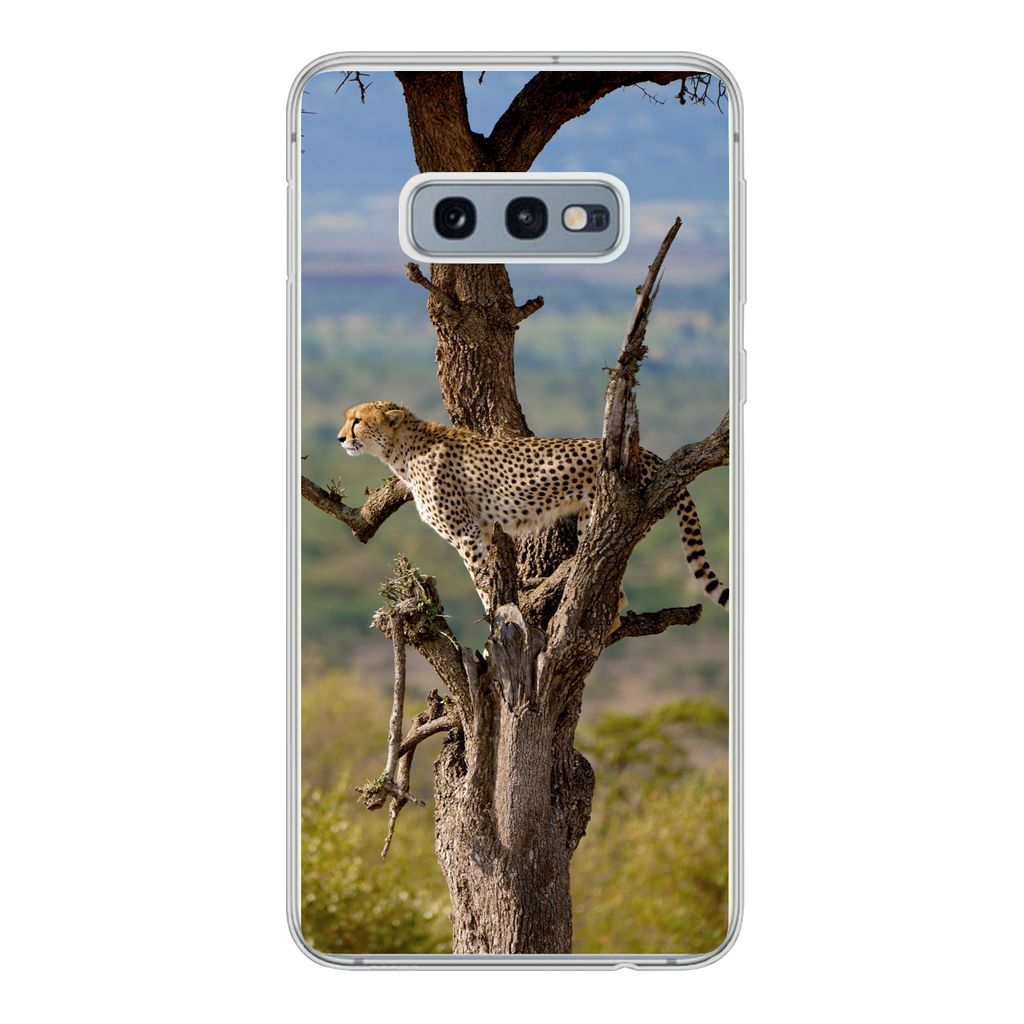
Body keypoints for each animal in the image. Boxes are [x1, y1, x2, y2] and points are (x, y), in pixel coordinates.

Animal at [337, 400, 729, 616]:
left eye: (358, 420)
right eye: (348, 418)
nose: (340, 438)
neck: (402, 450)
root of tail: (647, 452)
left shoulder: (466, 532)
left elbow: (481, 581)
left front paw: (494, 625)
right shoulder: (483, 530)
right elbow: (490, 576)